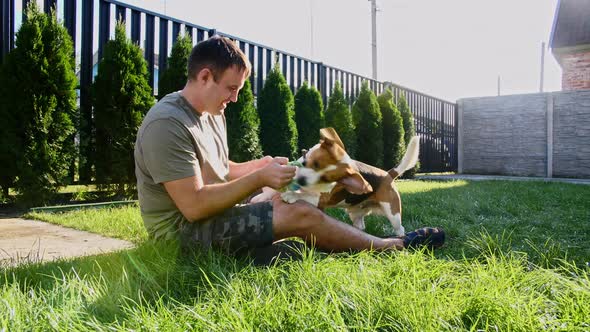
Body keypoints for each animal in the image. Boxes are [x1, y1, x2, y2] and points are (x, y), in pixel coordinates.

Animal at [280, 127, 424, 236]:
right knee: (360, 227)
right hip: (356, 215)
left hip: (393, 215)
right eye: (315, 163)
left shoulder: (321, 200)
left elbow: (304, 195)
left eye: (326, 178)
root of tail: (388, 174)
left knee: (400, 228)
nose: (301, 181)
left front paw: (291, 195)